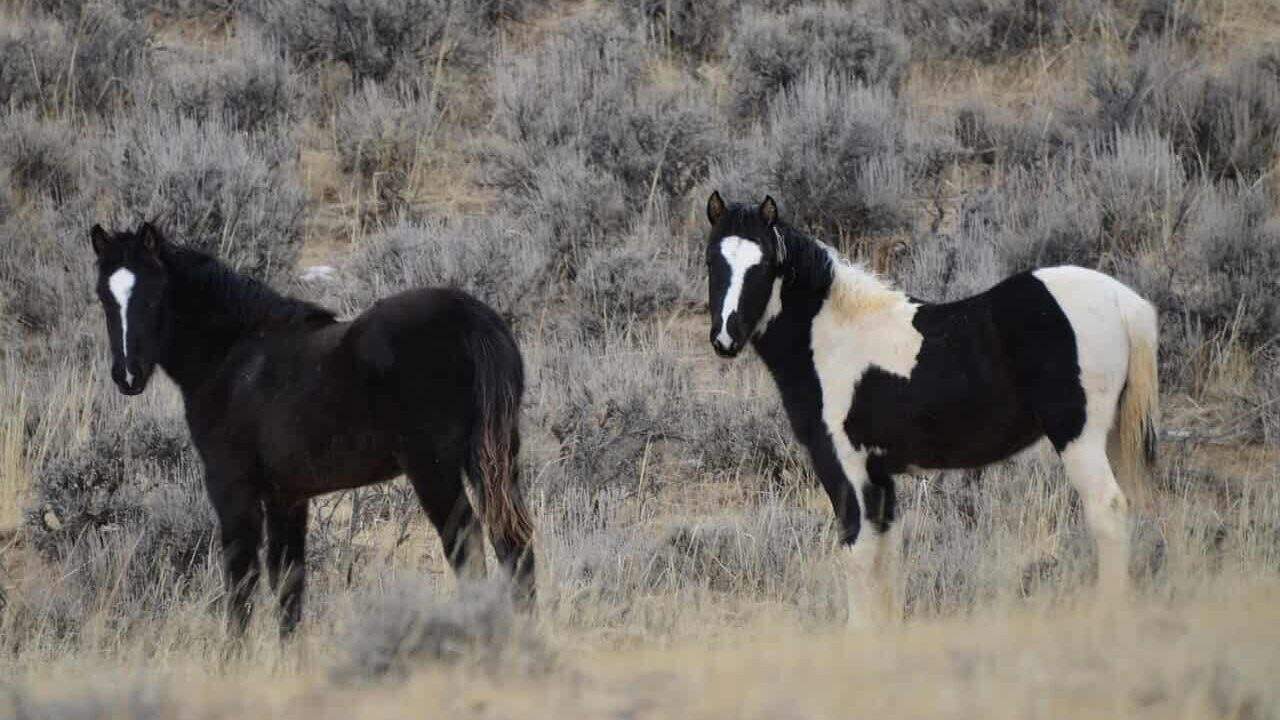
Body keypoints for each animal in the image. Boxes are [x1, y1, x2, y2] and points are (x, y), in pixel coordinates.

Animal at [90, 223, 535, 635]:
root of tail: (473, 319)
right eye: (103, 297)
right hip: (498, 460)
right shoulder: (287, 496)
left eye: (154, 295)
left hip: (434, 470)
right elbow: (289, 584)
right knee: (514, 543)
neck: (234, 357)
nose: (127, 376)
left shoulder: (232, 488)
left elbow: (242, 581)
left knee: (469, 547)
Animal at [703, 192, 1159, 626]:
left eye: (764, 265)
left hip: (1078, 437)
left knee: (1107, 510)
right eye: (711, 260)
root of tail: (1124, 302)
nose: (726, 338)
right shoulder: (879, 475)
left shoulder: (844, 465)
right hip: (1113, 435)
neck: (832, 338)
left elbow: (858, 552)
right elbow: (886, 556)